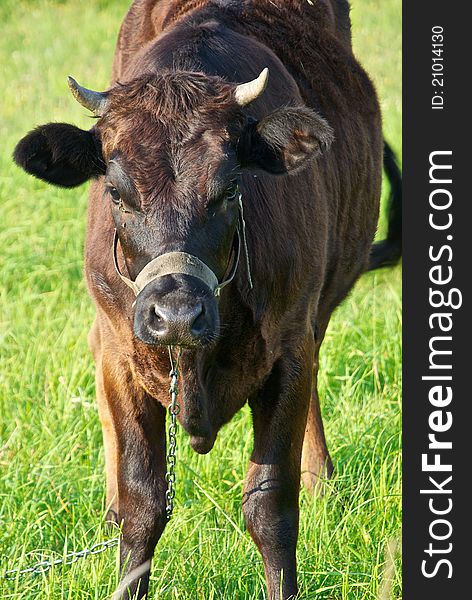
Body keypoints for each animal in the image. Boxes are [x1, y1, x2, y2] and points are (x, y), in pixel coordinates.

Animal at [12, 1, 400, 600]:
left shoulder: (289, 346)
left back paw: (321, 481)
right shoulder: (122, 354)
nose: (176, 316)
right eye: (117, 192)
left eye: (229, 188)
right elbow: (143, 503)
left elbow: (270, 504)